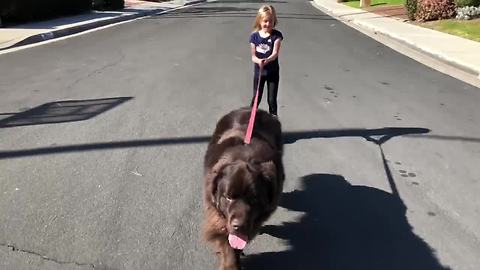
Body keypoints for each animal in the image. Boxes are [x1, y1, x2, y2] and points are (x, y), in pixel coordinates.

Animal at [202, 107, 284, 270]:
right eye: (228, 197)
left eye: (254, 199)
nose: (238, 226)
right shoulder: (216, 213)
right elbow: (226, 242)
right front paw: (231, 264)